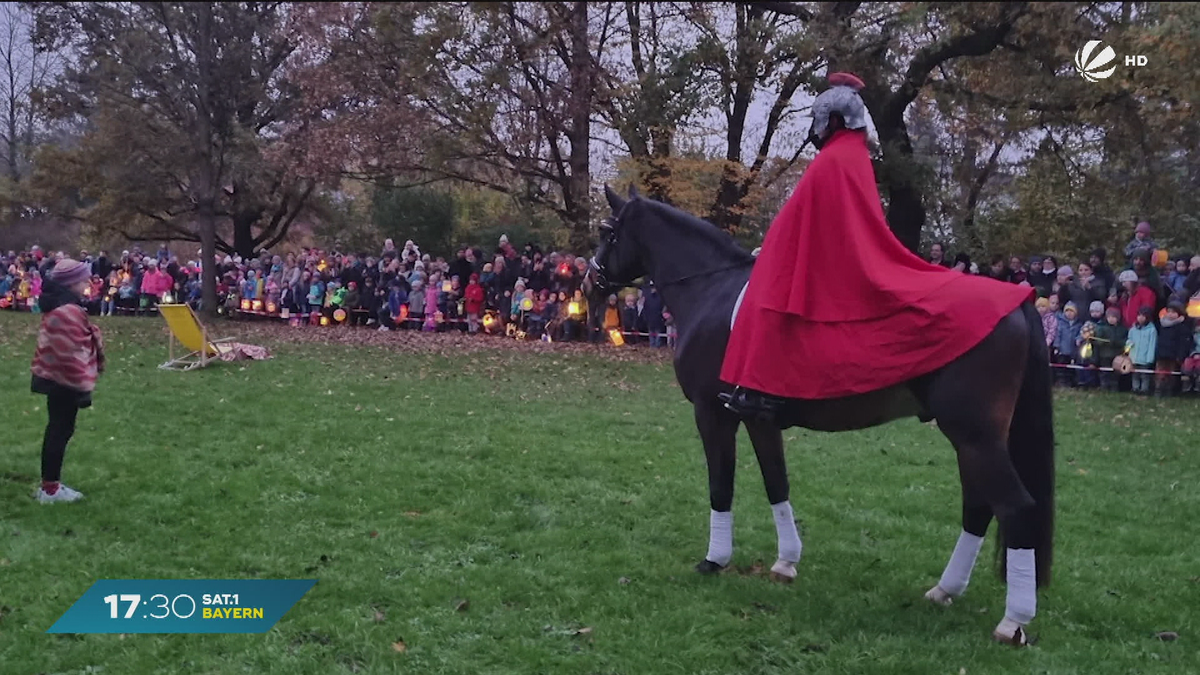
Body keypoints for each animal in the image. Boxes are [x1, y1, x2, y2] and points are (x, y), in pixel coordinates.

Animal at [588, 183, 1051, 638]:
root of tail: (1015, 300)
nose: (592, 280)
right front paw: (786, 562)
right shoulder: (758, 417)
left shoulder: (712, 414)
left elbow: (721, 484)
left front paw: (715, 560)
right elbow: (776, 482)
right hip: (971, 439)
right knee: (979, 506)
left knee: (1015, 508)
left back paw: (1013, 621)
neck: (712, 291)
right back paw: (945, 590)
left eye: (608, 232)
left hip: (974, 436)